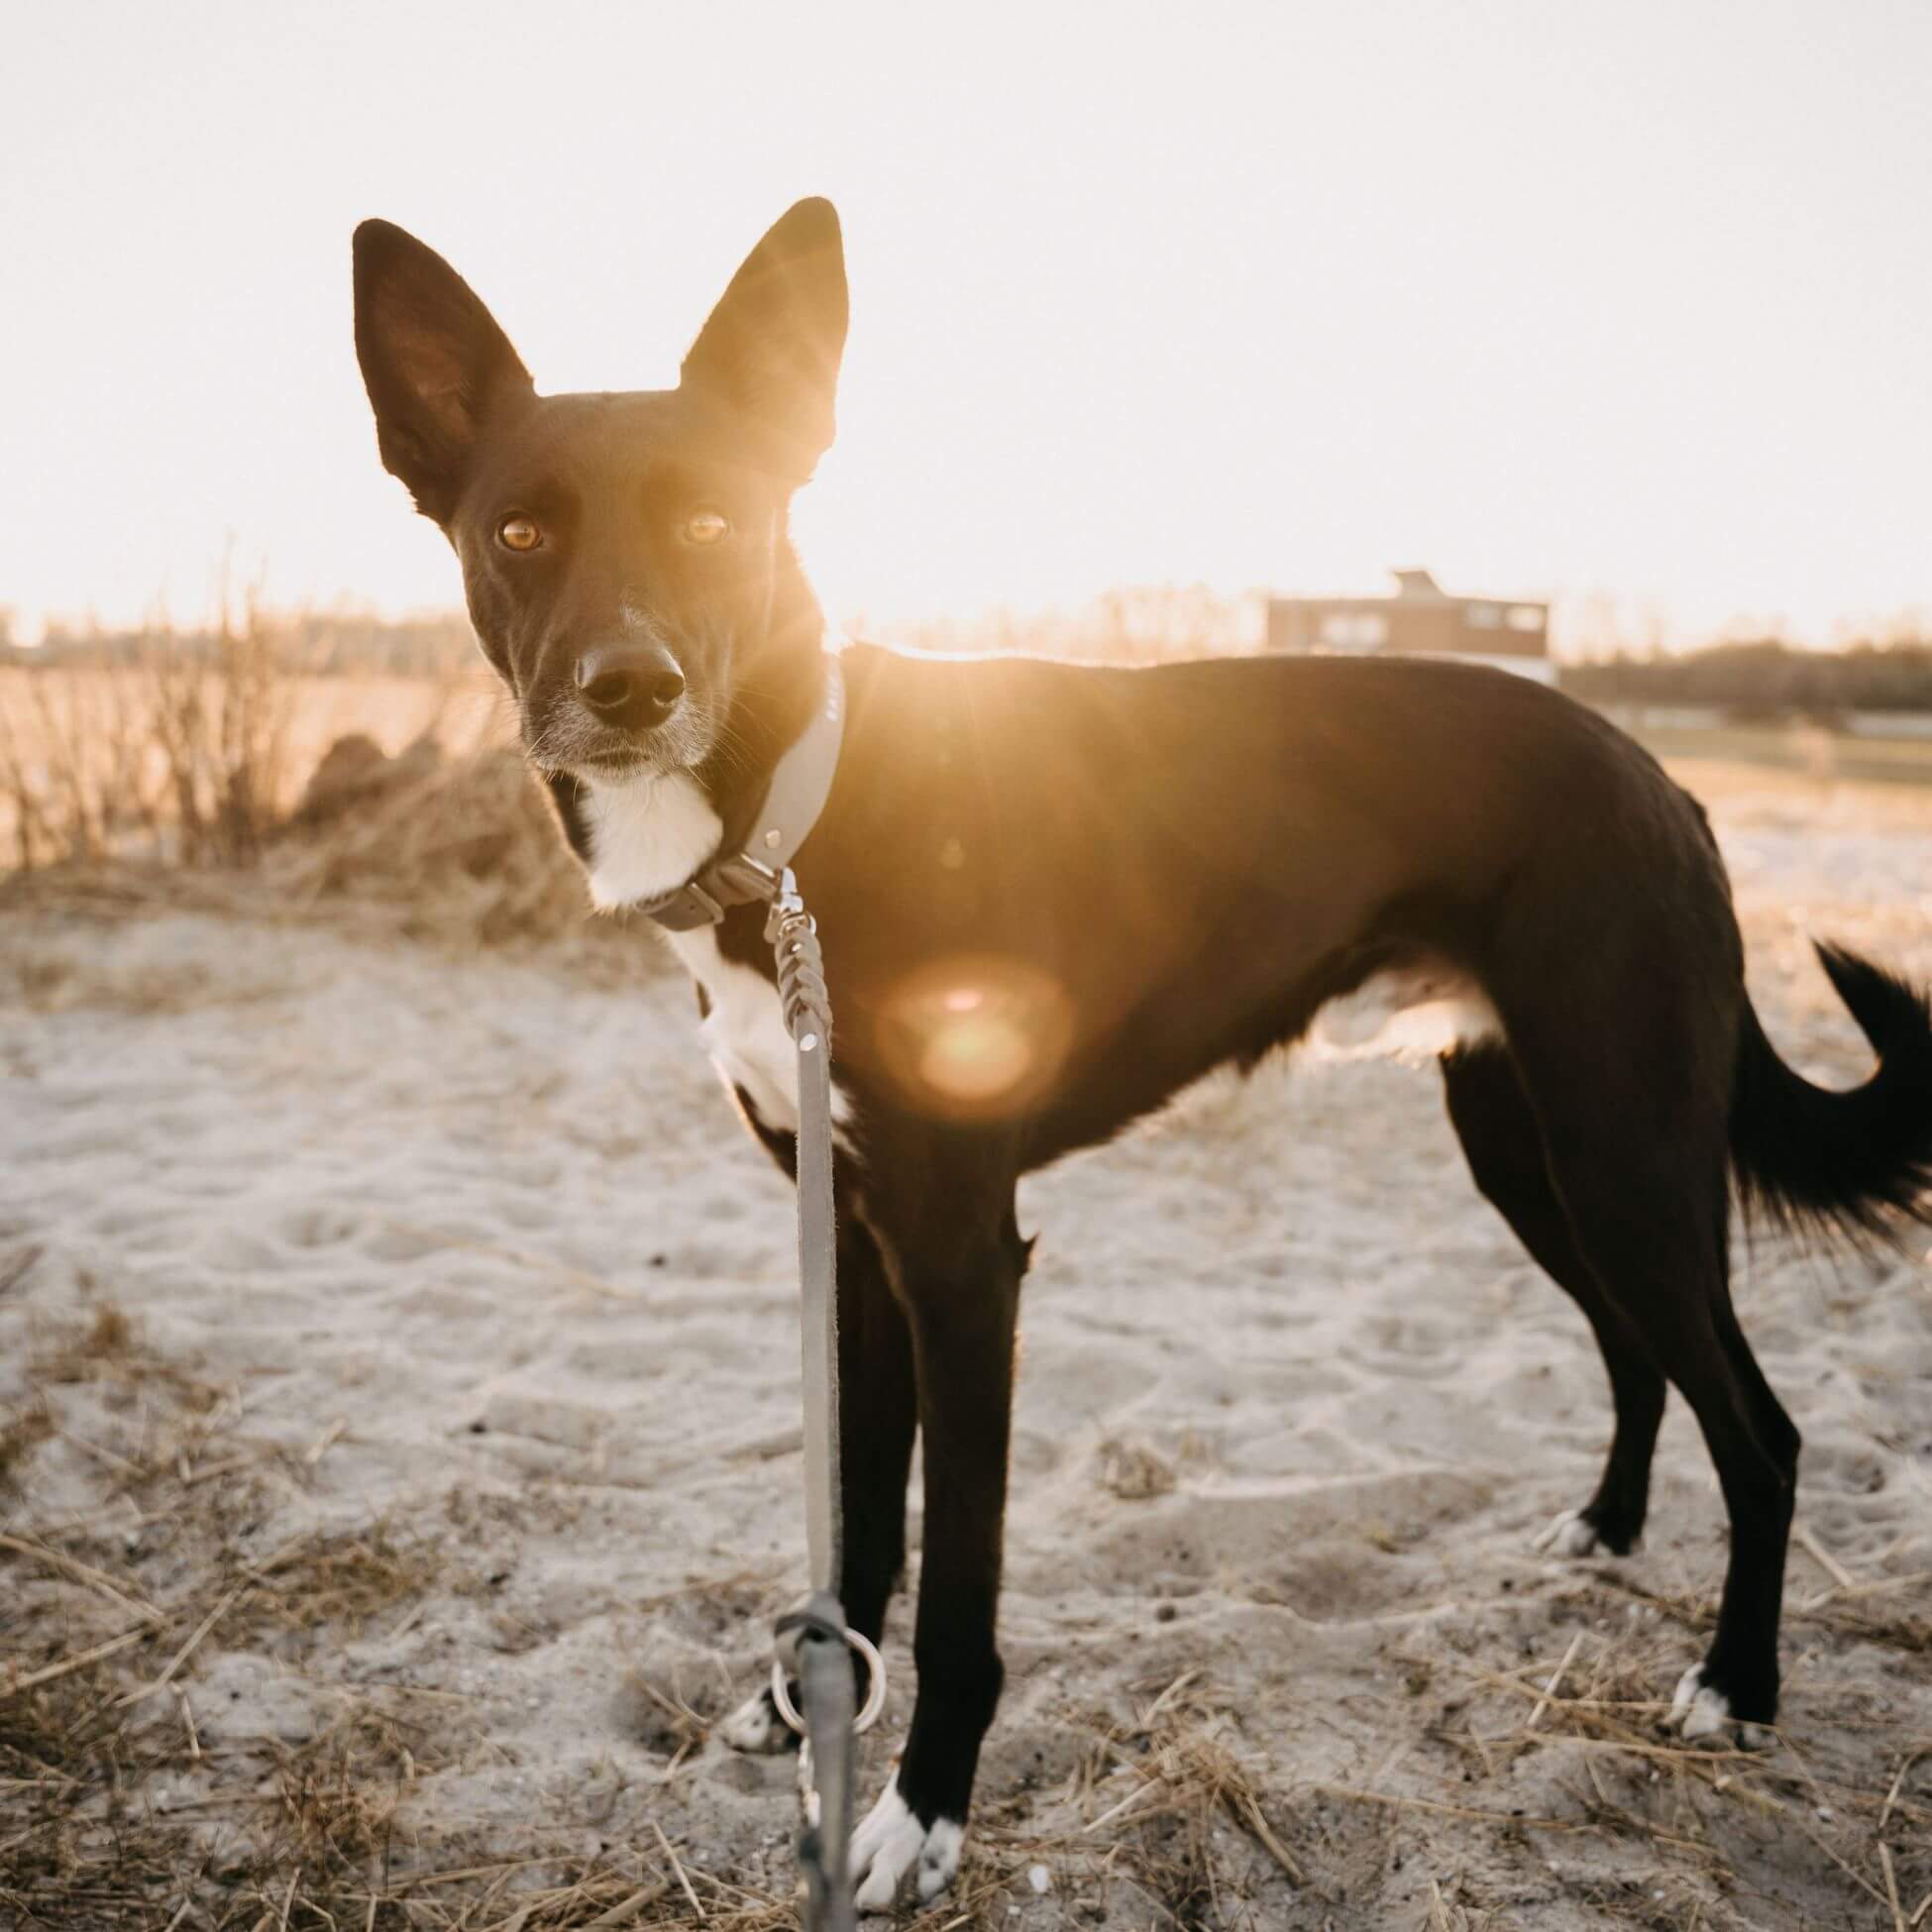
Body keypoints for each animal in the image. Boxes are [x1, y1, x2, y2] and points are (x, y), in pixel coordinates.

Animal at [355, 203, 1932, 1908]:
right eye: (520, 532)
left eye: (714, 523)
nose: (630, 686)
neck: (789, 817)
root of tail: (1661, 779)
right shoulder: (851, 1239)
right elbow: (864, 1521)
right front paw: (814, 1703)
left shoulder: (963, 1256)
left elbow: (961, 1580)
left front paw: (920, 1806)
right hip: (1526, 1146)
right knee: (1641, 1354)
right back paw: (1604, 1527)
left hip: (1621, 1148)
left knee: (1761, 1427)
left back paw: (1737, 1683)